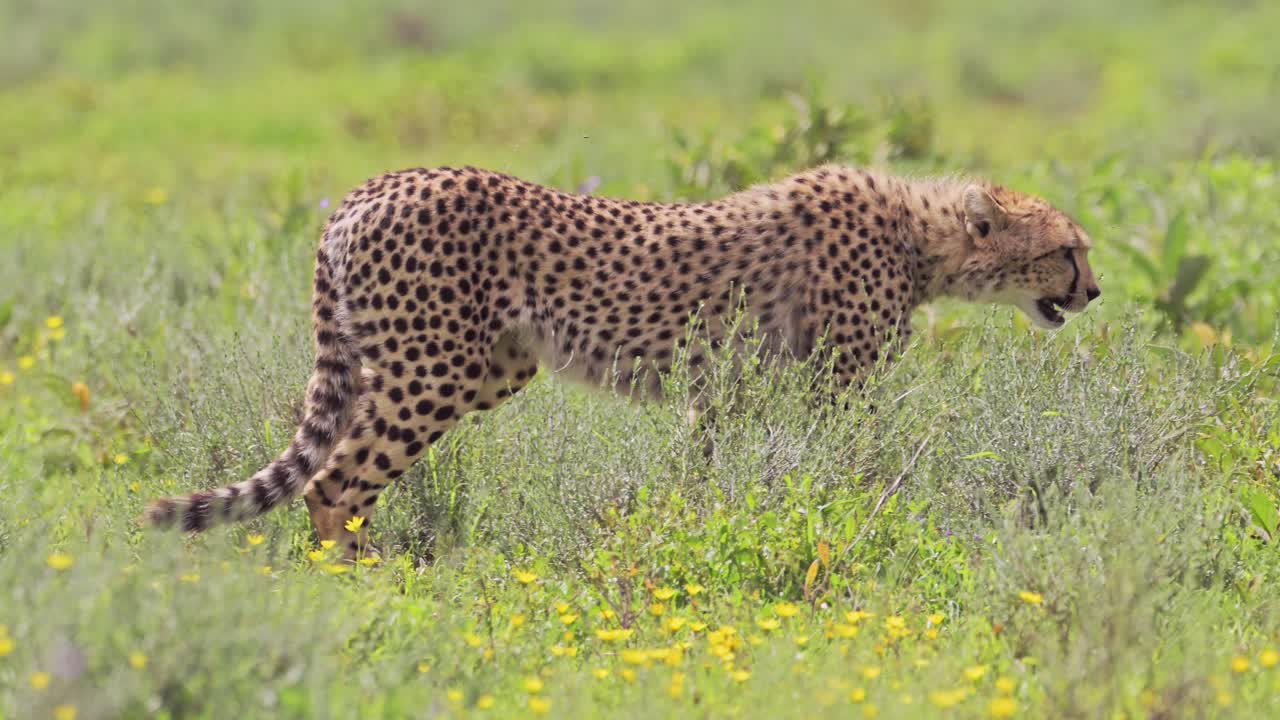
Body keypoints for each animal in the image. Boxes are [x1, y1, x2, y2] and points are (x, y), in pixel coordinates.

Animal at [145, 164, 1100, 557]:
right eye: (1067, 249)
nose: (1094, 292)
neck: (921, 237)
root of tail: (371, 186)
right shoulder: (835, 388)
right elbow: (855, 470)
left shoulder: (727, 392)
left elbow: (711, 473)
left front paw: (695, 527)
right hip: (434, 369)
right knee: (334, 483)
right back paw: (366, 589)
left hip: (478, 366)